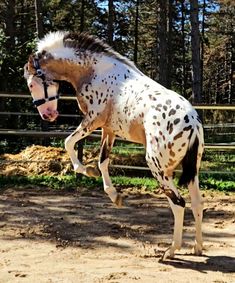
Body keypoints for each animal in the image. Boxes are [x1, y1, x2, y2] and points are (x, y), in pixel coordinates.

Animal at [23, 30, 204, 260]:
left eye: (31, 85)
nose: (48, 115)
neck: (93, 70)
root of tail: (193, 124)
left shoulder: (93, 120)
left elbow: (69, 142)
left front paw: (85, 170)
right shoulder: (108, 130)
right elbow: (103, 161)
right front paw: (114, 195)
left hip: (158, 167)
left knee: (179, 204)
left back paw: (171, 251)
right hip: (191, 170)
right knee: (197, 203)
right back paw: (197, 247)